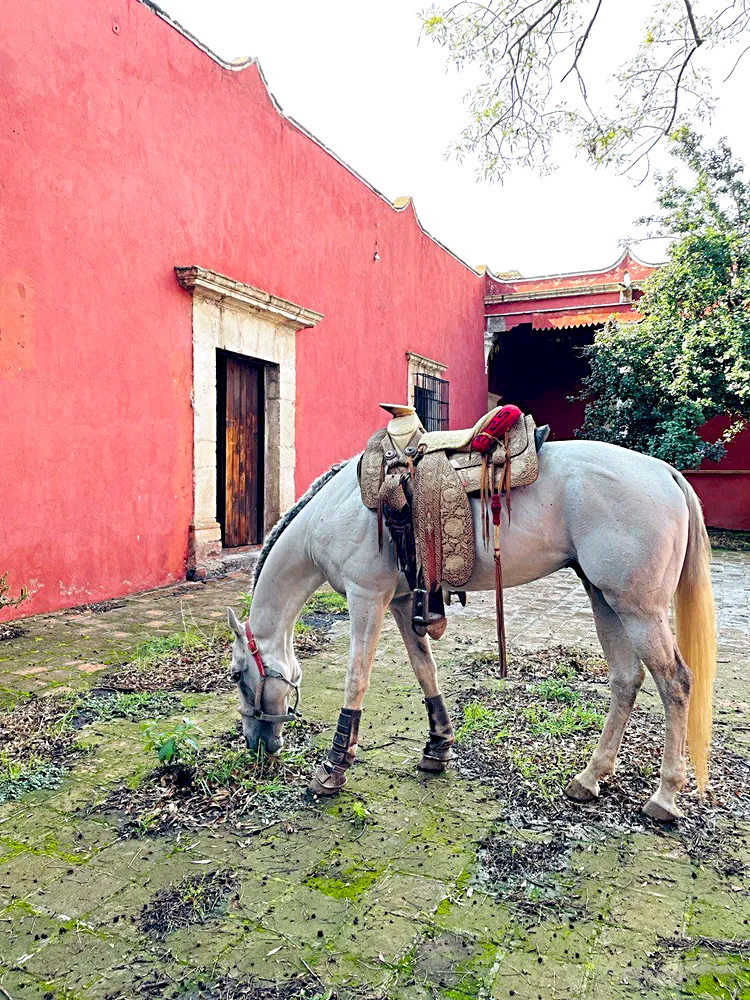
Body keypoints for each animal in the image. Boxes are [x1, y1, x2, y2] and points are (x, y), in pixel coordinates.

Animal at [225, 437, 716, 823]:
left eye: (235, 675)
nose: (255, 744)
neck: (334, 510)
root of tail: (664, 472)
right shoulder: (402, 602)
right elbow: (425, 672)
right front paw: (438, 748)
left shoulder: (366, 597)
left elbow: (356, 680)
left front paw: (333, 769)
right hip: (603, 597)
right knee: (625, 680)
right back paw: (590, 778)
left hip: (638, 609)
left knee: (675, 683)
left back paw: (665, 797)